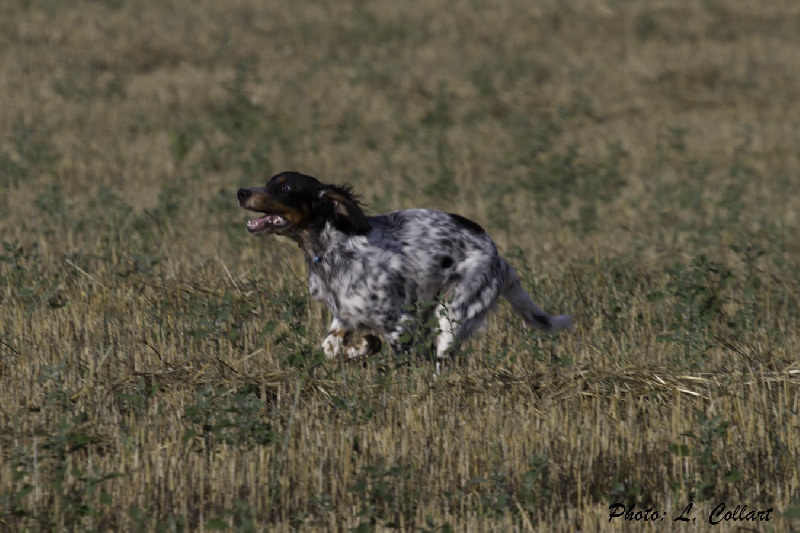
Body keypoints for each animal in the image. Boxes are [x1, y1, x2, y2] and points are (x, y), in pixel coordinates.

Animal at [236, 172, 568, 364]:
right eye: (269, 181)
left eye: (284, 187)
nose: (241, 192)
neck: (333, 249)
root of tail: (498, 257)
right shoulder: (344, 314)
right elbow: (332, 347)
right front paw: (359, 349)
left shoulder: (401, 324)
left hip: (453, 314)